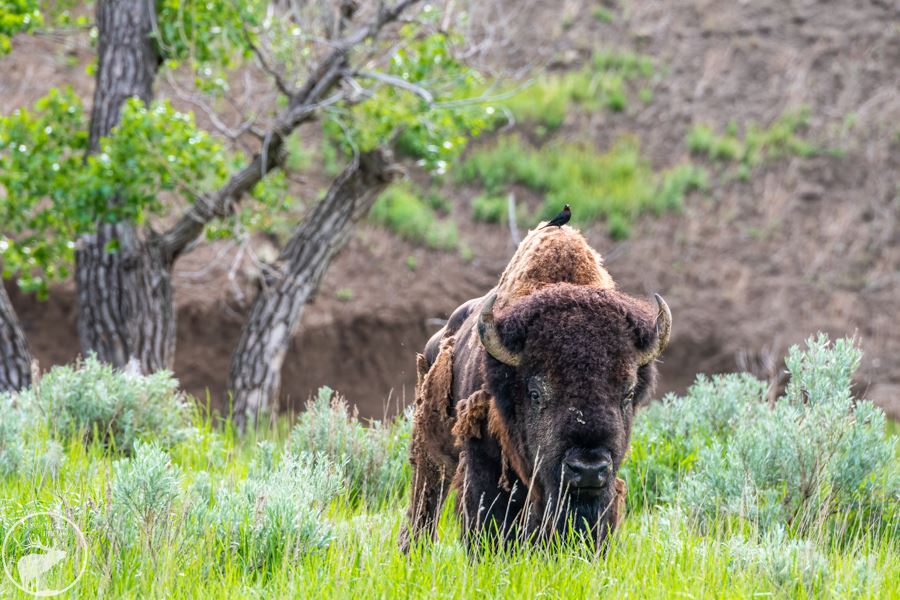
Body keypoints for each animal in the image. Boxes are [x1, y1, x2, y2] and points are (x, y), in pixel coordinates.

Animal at [400, 225, 671, 551]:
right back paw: (413, 549)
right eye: (536, 393)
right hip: (431, 446)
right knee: (427, 496)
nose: (588, 469)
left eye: (628, 394)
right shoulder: (485, 463)